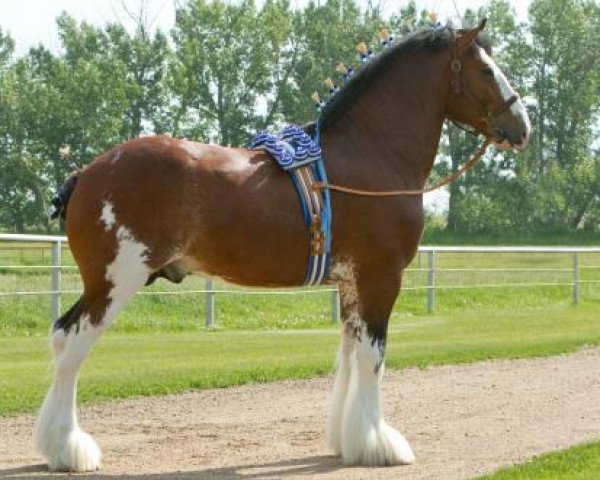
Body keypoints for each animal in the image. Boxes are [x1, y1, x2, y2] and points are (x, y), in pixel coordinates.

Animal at [34, 21, 528, 472]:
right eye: (486, 69)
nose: (521, 126)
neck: (368, 158)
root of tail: (86, 173)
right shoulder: (381, 276)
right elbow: (372, 357)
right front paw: (379, 443)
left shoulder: (351, 283)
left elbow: (349, 354)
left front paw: (348, 441)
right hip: (116, 282)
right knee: (73, 345)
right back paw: (70, 450)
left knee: (61, 338)